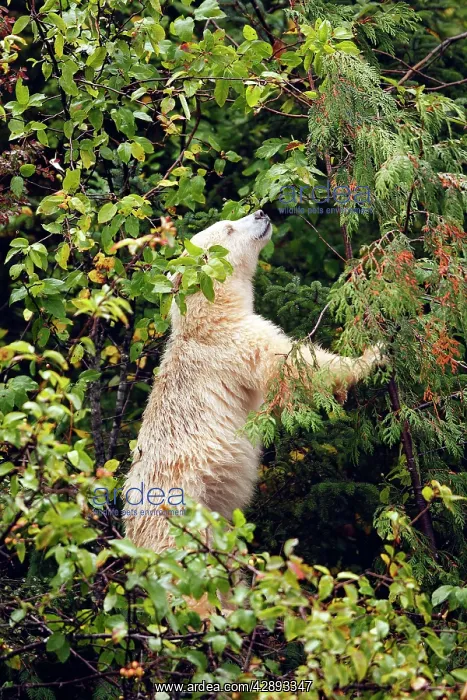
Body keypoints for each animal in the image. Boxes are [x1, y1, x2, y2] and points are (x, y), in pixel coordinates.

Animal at [123, 210, 383, 553]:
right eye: (229, 228)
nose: (261, 212)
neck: (205, 315)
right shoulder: (235, 341)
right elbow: (292, 365)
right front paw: (373, 354)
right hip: (178, 517)